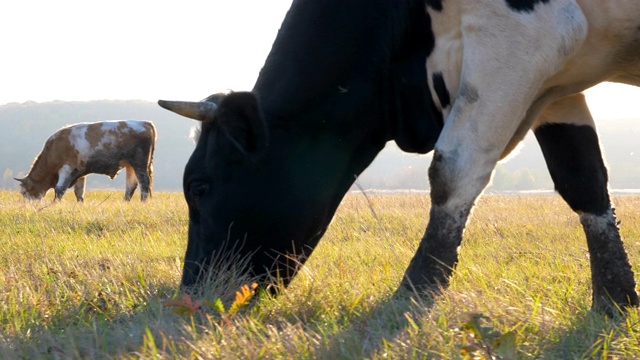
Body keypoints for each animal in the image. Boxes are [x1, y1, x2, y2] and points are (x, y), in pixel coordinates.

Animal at [16, 119, 156, 201]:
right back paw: (125, 202)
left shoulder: (67, 168)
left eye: (24, 192)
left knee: (144, 183)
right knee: (131, 185)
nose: (28, 206)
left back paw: (143, 202)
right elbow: (79, 192)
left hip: (139, 164)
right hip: (130, 165)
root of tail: (144, 122)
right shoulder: (79, 173)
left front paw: (54, 204)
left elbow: (59, 189)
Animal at [160, 0, 640, 314]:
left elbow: (454, 168)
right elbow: (582, 178)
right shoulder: (558, 81)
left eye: (199, 187)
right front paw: (615, 299)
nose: (191, 297)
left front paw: (415, 293)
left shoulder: (524, 35)